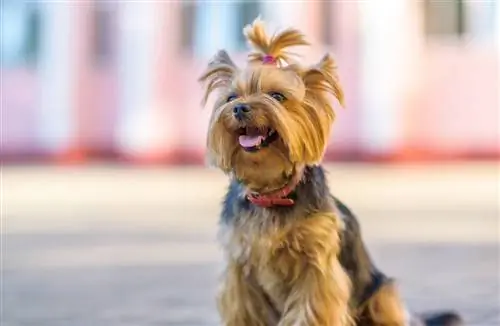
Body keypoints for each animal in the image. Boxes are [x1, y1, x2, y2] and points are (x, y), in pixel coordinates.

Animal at [198, 17, 460, 326]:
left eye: (277, 96)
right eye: (231, 97)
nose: (239, 108)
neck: (272, 192)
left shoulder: (316, 266)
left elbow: (312, 307)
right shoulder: (240, 270)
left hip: (382, 293)